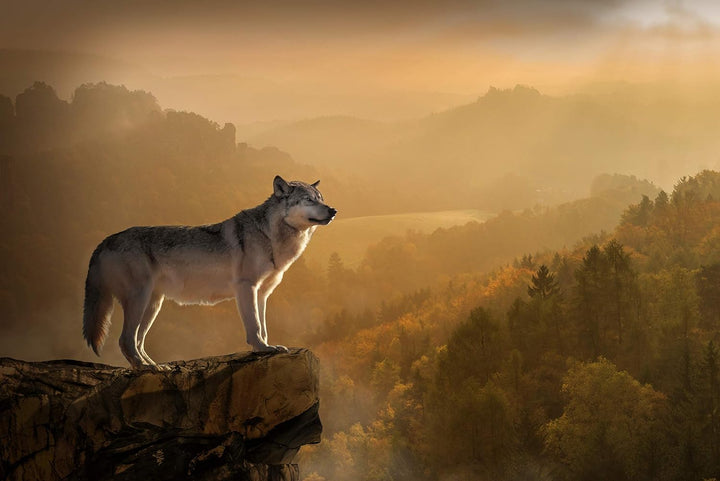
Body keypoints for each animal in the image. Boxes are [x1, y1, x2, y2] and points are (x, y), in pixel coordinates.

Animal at [82, 176, 336, 369]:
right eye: (308, 200)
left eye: (321, 199)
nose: (333, 210)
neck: (270, 235)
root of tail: (104, 241)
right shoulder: (246, 287)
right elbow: (254, 326)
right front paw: (262, 348)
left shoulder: (262, 293)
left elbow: (263, 327)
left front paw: (267, 347)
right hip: (140, 300)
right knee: (126, 340)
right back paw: (146, 368)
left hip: (153, 305)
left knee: (138, 341)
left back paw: (155, 366)